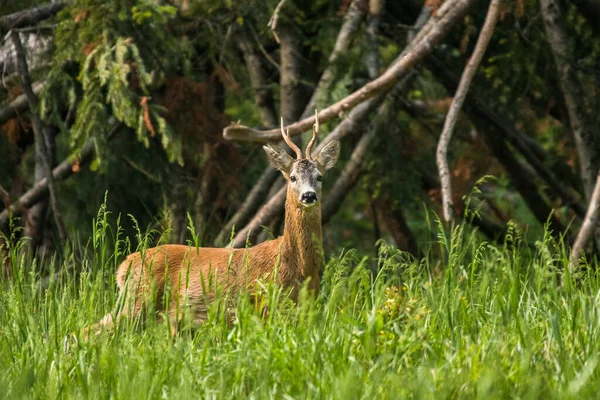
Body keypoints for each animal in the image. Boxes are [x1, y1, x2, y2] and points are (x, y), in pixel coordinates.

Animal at [91, 113, 340, 334]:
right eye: (293, 177)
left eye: (319, 176)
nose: (309, 196)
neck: (299, 267)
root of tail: (123, 267)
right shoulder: (265, 303)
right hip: (138, 301)